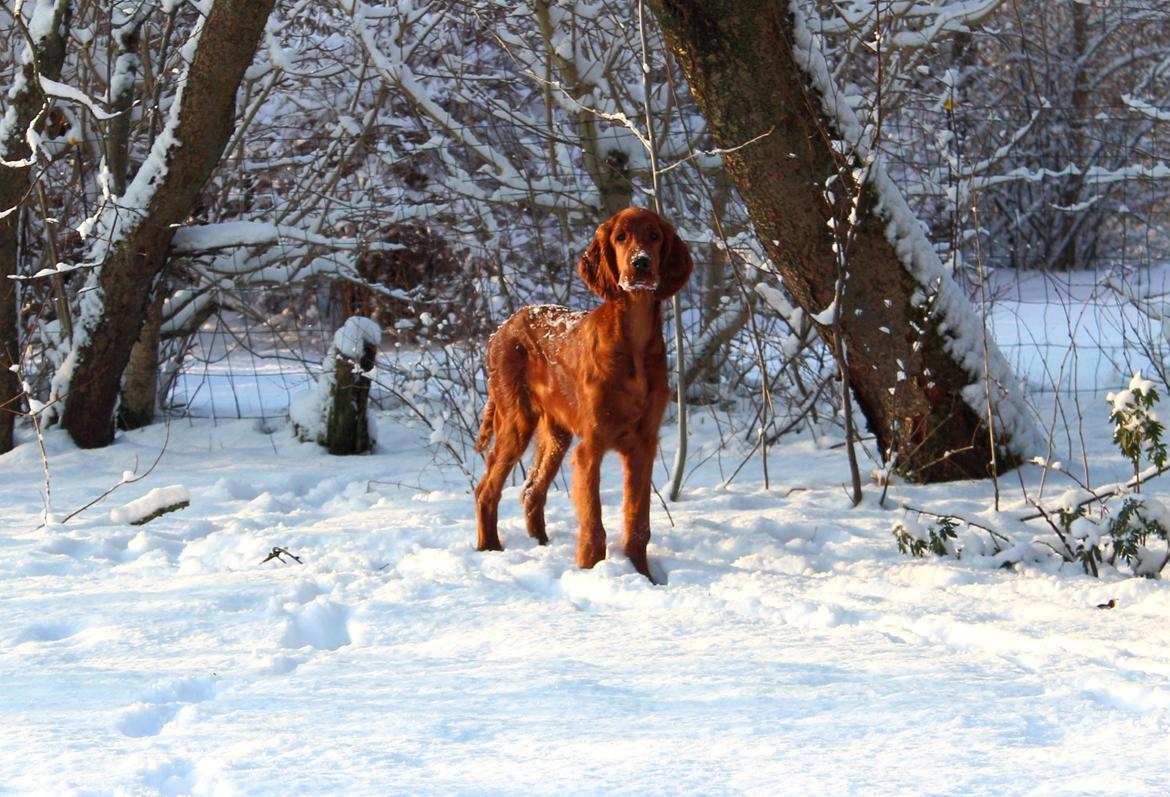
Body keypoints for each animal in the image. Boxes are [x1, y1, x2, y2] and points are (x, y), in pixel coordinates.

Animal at [477, 204, 692, 578]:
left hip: (556, 434)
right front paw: (591, 570)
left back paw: (541, 545)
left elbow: (639, 524)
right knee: (486, 488)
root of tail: (502, 327)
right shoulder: (591, 445)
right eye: (620, 237)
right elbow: (593, 523)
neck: (633, 344)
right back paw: (489, 548)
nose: (640, 263)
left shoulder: (643, 446)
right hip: (517, 420)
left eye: (654, 236)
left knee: (531, 491)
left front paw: (643, 576)